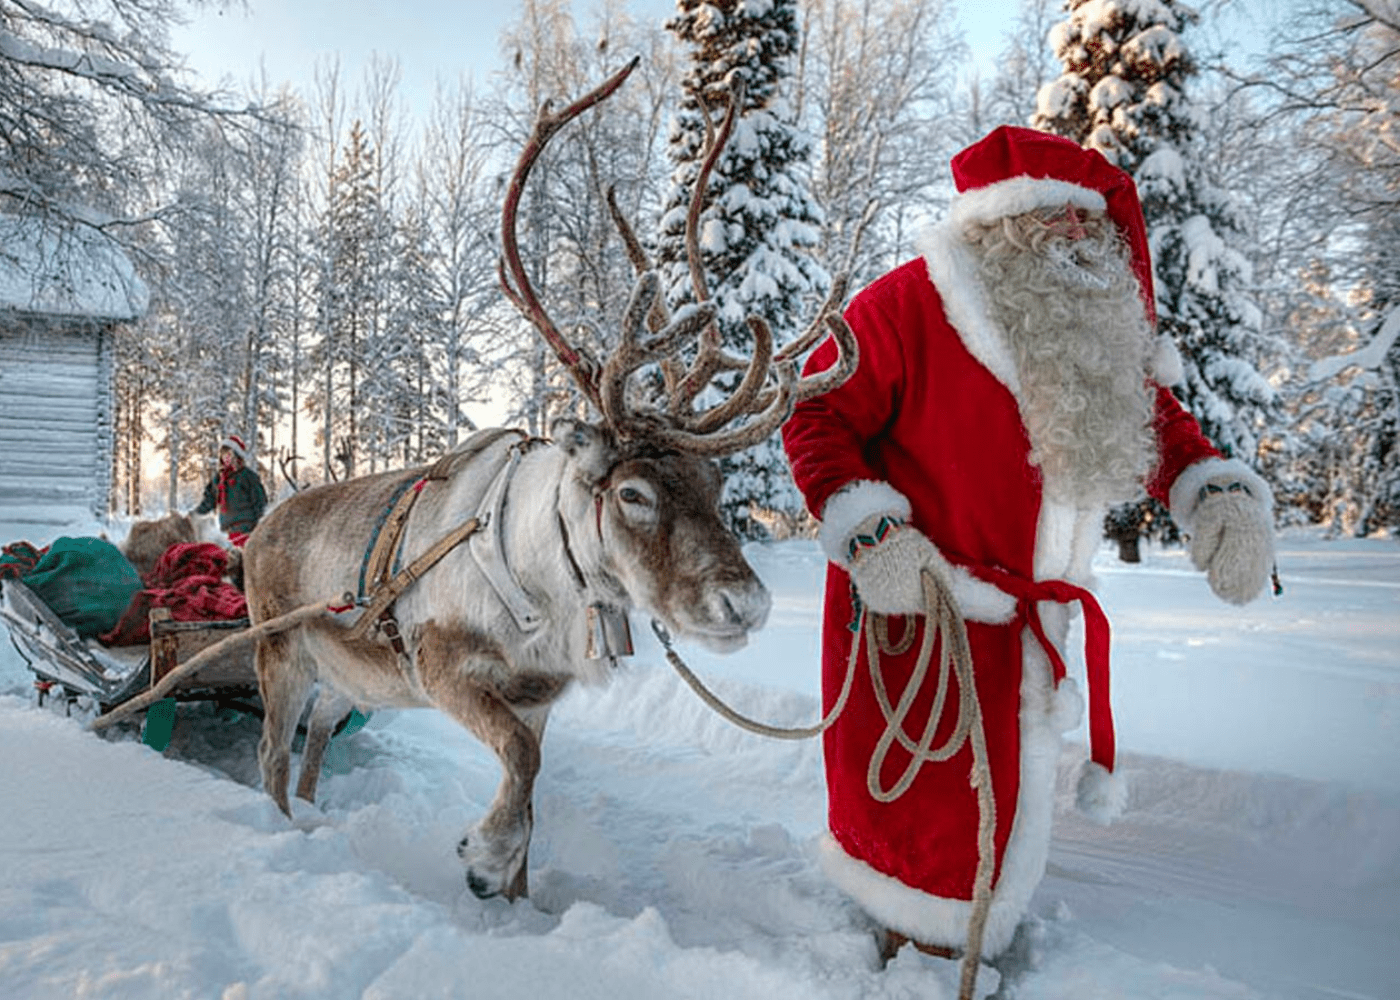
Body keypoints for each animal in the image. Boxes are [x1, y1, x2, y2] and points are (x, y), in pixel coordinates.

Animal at [240, 57, 856, 902]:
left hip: (345, 679)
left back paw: (315, 813)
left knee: (316, 743)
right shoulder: (445, 668)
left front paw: (517, 897)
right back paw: (284, 831)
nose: (747, 604)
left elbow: (530, 787)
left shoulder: (537, 698)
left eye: (717, 483)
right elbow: (523, 772)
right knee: (271, 754)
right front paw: (483, 855)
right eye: (632, 493)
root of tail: (259, 527)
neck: (538, 580)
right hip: (282, 657)